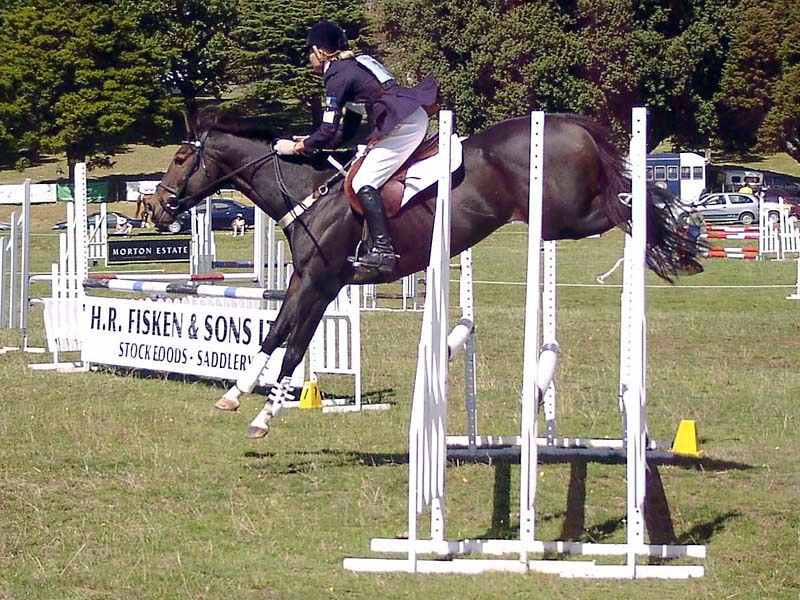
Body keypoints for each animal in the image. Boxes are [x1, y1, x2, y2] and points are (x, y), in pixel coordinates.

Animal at [143, 111, 701, 439]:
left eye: (181, 157)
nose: (156, 207)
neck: (310, 194)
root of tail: (572, 125)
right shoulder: (306, 281)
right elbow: (276, 333)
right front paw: (235, 394)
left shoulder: (322, 283)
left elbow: (295, 347)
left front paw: (264, 416)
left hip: (566, 216)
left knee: (626, 206)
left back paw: (680, 237)